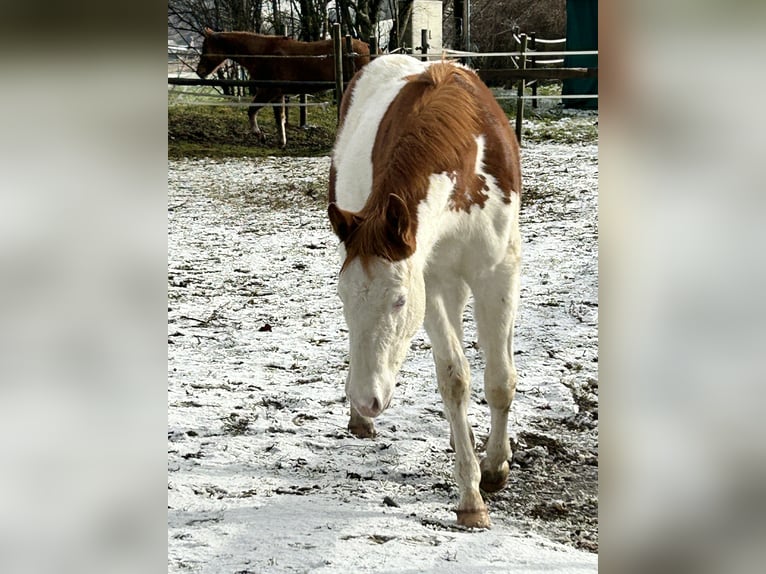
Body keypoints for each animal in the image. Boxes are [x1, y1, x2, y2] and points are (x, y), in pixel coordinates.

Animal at [198, 28, 372, 147]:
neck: (264, 54)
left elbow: (252, 110)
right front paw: (281, 142)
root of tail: (366, 47)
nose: (199, 72)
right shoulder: (277, 94)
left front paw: (260, 135)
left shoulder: (268, 91)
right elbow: (279, 117)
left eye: (205, 48)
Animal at [328, 55, 524, 532]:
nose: (365, 398)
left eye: (399, 300)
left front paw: (495, 466)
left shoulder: (497, 273)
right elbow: (454, 378)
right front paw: (471, 497)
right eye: (342, 299)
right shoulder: (429, 279)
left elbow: (500, 379)